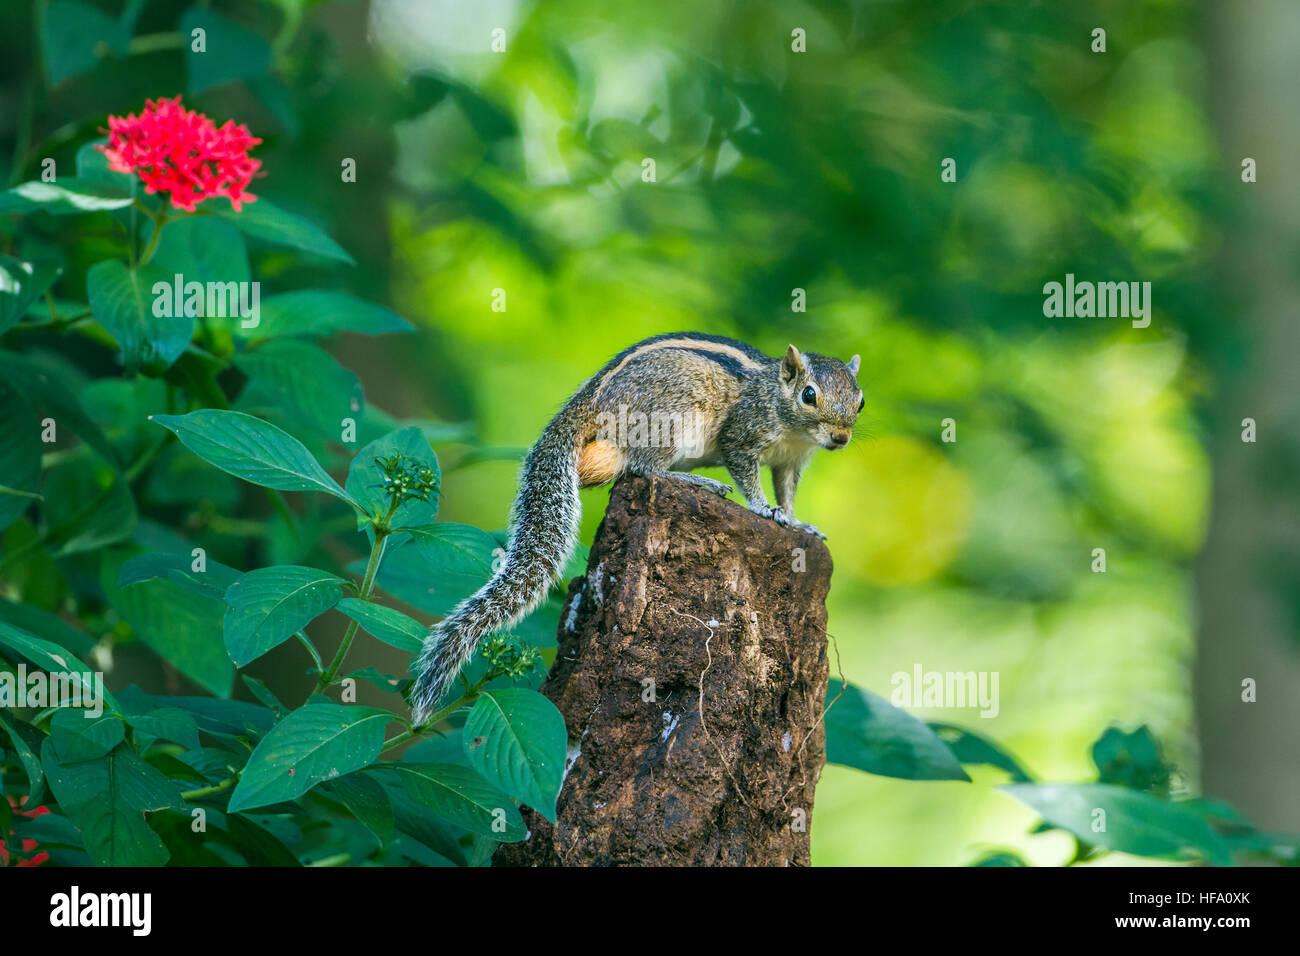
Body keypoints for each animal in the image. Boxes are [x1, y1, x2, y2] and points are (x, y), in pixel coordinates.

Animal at [410, 332, 863, 723]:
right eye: (809, 395)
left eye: (860, 401)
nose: (840, 438)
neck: (789, 422)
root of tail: (590, 399)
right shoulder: (743, 436)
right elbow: (747, 475)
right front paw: (764, 509)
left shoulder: (792, 462)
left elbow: (788, 491)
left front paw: (798, 522)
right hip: (667, 419)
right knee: (645, 466)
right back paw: (695, 480)